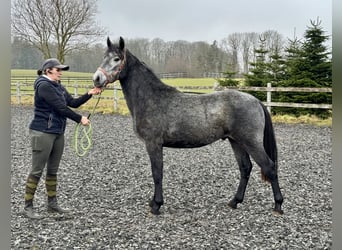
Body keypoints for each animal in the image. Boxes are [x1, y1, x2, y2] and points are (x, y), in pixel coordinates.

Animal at [91, 36, 284, 215]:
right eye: (104, 57)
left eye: (117, 59)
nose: (96, 79)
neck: (151, 98)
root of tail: (256, 101)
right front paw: (153, 202)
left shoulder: (153, 144)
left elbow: (157, 173)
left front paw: (156, 205)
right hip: (236, 141)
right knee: (245, 168)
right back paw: (234, 201)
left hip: (251, 142)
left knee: (269, 167)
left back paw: (278, 206)